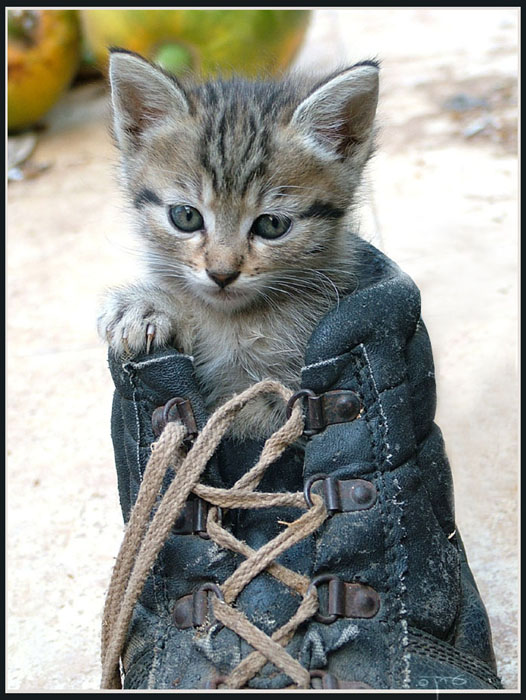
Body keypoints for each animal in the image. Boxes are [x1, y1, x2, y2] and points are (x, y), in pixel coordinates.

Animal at [98, 49, 380, 438]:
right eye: (185, 216)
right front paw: (147, 306)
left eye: (272, 225)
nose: (221, 274)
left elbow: (248, 410)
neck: (234, 322)